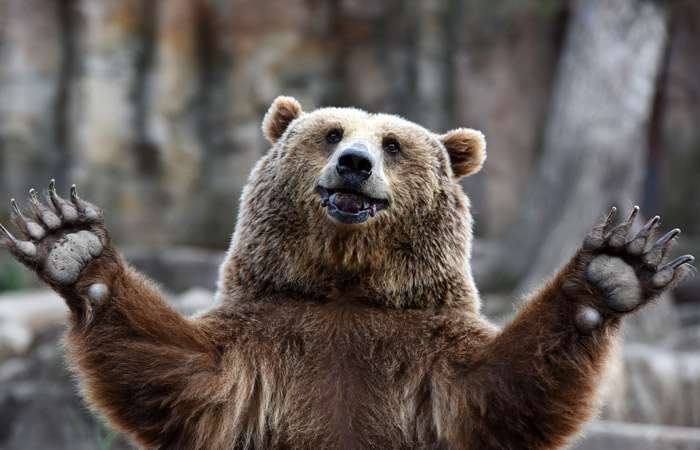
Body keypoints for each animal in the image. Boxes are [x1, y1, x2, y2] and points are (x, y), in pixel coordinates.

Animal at [0, 95, 694, 450]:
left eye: (393, 144)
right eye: (331, 132)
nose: (354, 164)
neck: (346, 286)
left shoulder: (423, 345)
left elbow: (502, 390)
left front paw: (615, 268)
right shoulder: (268, 334)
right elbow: (182, 374)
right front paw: (70, 243)